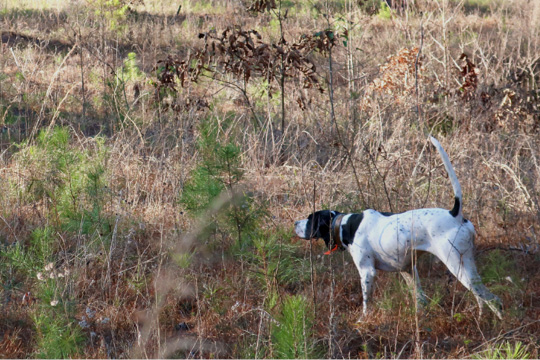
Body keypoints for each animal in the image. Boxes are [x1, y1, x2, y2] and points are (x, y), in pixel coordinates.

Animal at [296, 136, 502, 320]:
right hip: (467, 265)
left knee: (493, 299)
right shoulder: (408, 269)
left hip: (456, 265)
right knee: (481, 298)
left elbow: (366, 303)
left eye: (310, 219)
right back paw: (481, 318)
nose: (295, 224)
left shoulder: (367, 272)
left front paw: (363, 320)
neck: (345, 225)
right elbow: (420, 299)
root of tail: (456, 215)